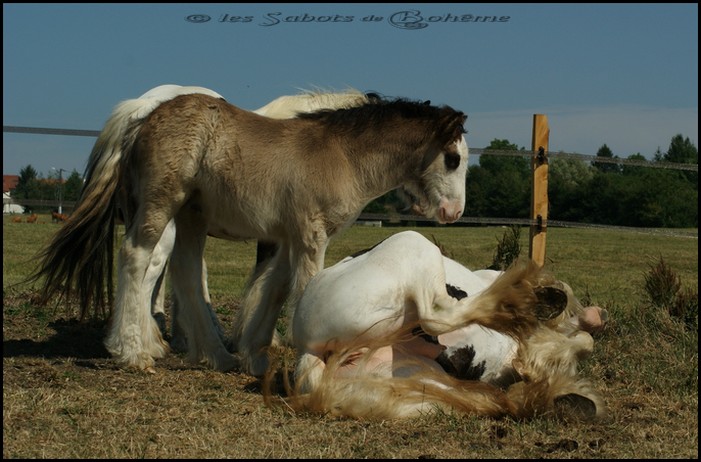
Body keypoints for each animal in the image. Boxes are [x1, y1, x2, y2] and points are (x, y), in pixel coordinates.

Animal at [32, 88, 470, 374]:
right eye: (452, 158)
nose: (453, 212)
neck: (341, 154)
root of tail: (141, 119)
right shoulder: (310, 234)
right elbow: (304, 286)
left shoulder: (287, 237)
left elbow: (273, 290)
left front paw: (253, 352)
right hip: (161, 203)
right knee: (137, 258)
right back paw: (134, 353)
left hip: (192, 216)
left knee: (186, 274)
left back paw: (216, 356)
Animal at [288, 233, 604, 420]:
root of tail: (308, 349)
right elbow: (579, 330)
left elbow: (581, 338)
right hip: (412, 243)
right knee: (437, 315)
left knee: (438, 318)